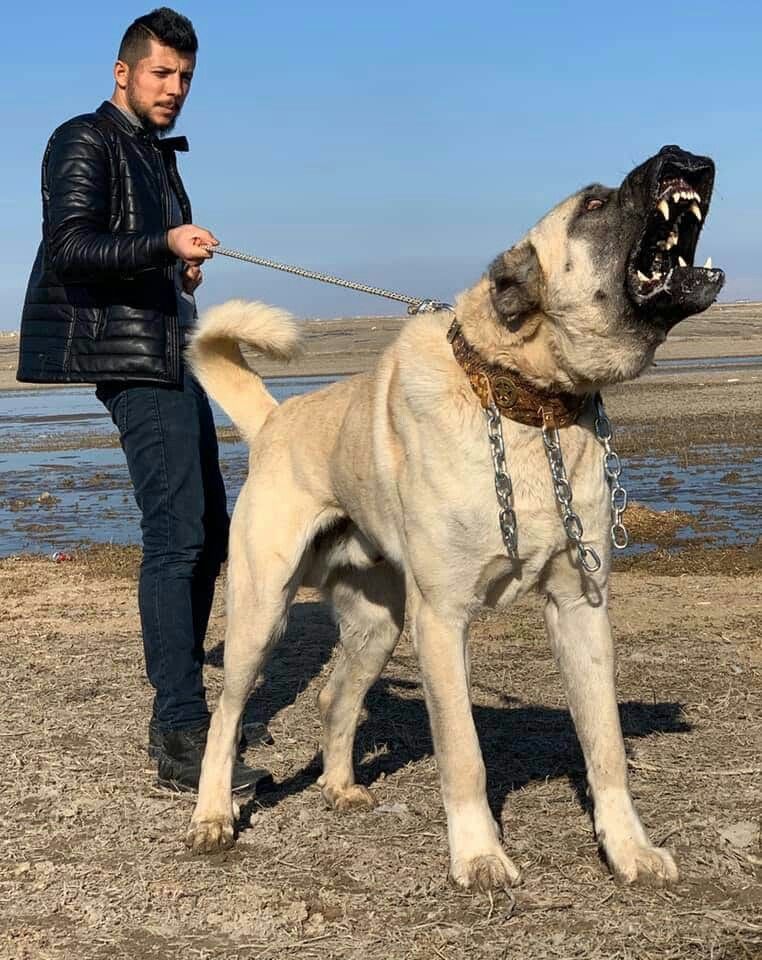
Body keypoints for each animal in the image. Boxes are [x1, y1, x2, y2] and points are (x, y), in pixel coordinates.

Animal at [187, 146, 720, 888]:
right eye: (592, 203)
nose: (685, 157)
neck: (527, 407)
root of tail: (274, 421)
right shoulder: (442, 619)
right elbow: (464, 753)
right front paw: (479, 854)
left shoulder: (581, 610)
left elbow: (607, 747)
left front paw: (628, 848)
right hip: (262, 615)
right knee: (227, 716)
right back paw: (212, 815)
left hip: (378, 624)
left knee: (334, 698)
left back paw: (340, 785)